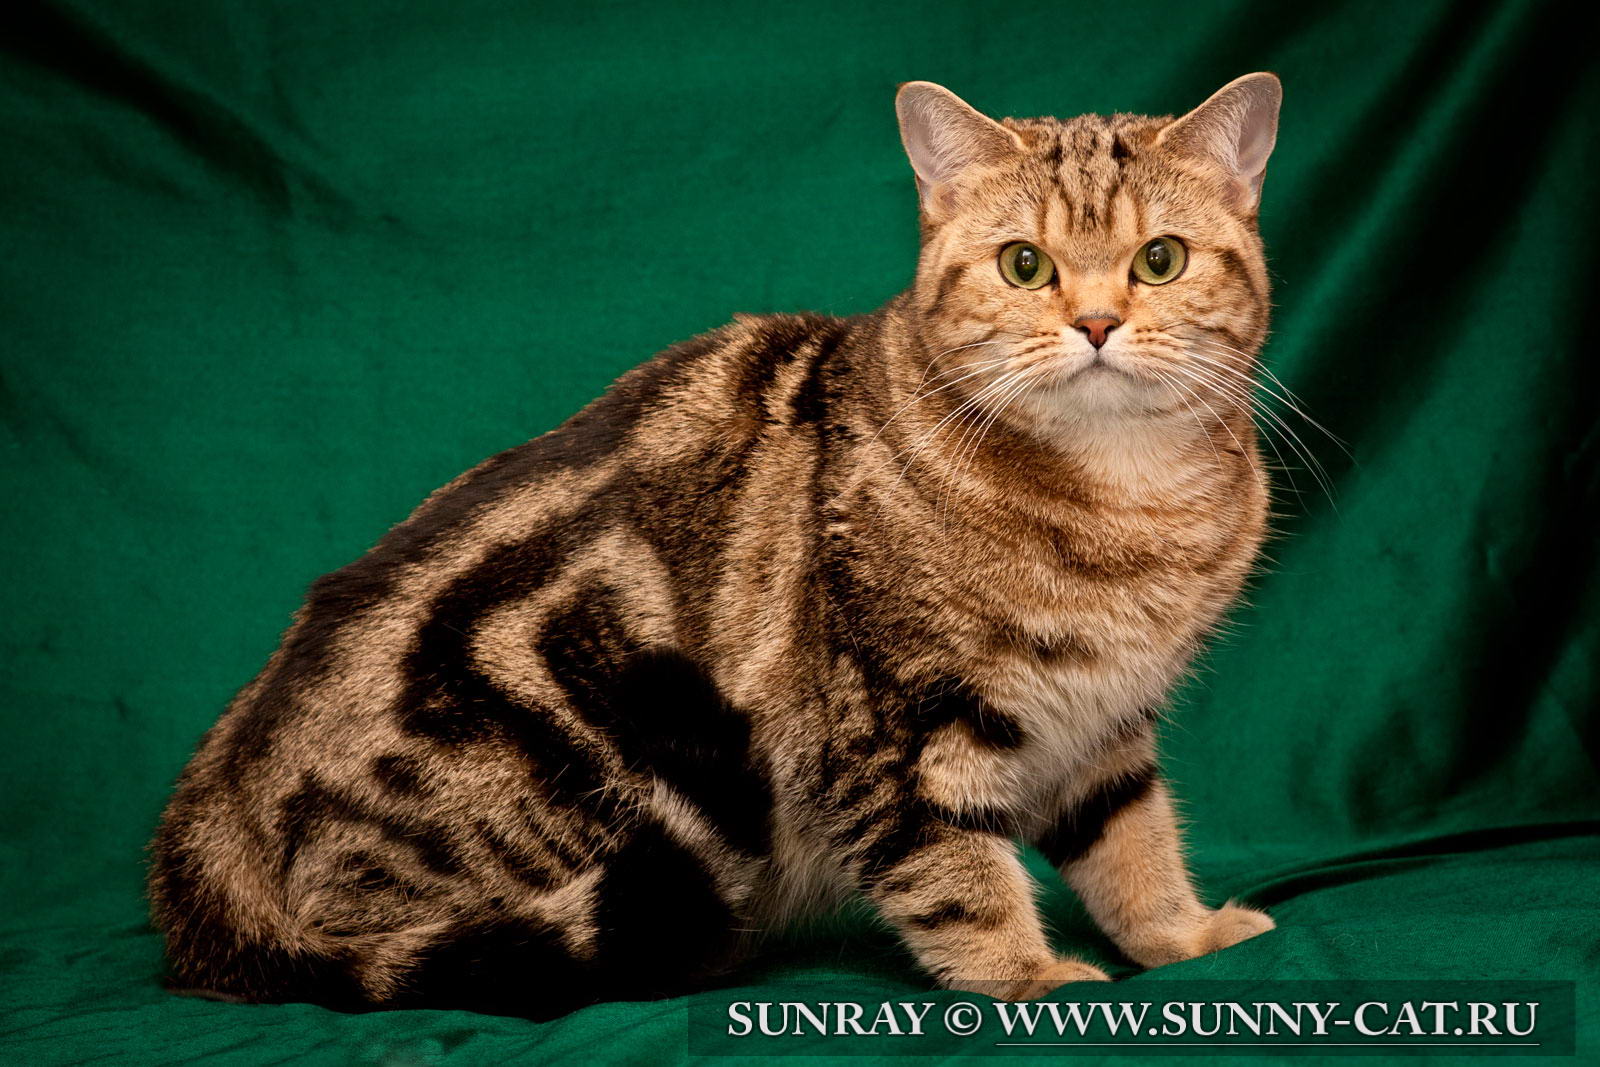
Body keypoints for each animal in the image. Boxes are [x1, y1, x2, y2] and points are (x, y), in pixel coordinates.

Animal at [150, 72, 1283, 1017]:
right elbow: (962, 879)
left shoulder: (1103, 725)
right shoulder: (891, 735)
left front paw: (1185, 937)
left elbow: (1134, 844)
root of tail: (199, 839)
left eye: (1159, 260)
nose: (1095, 322)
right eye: (1024, 265)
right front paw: (1032, 977)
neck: (1125, 508)